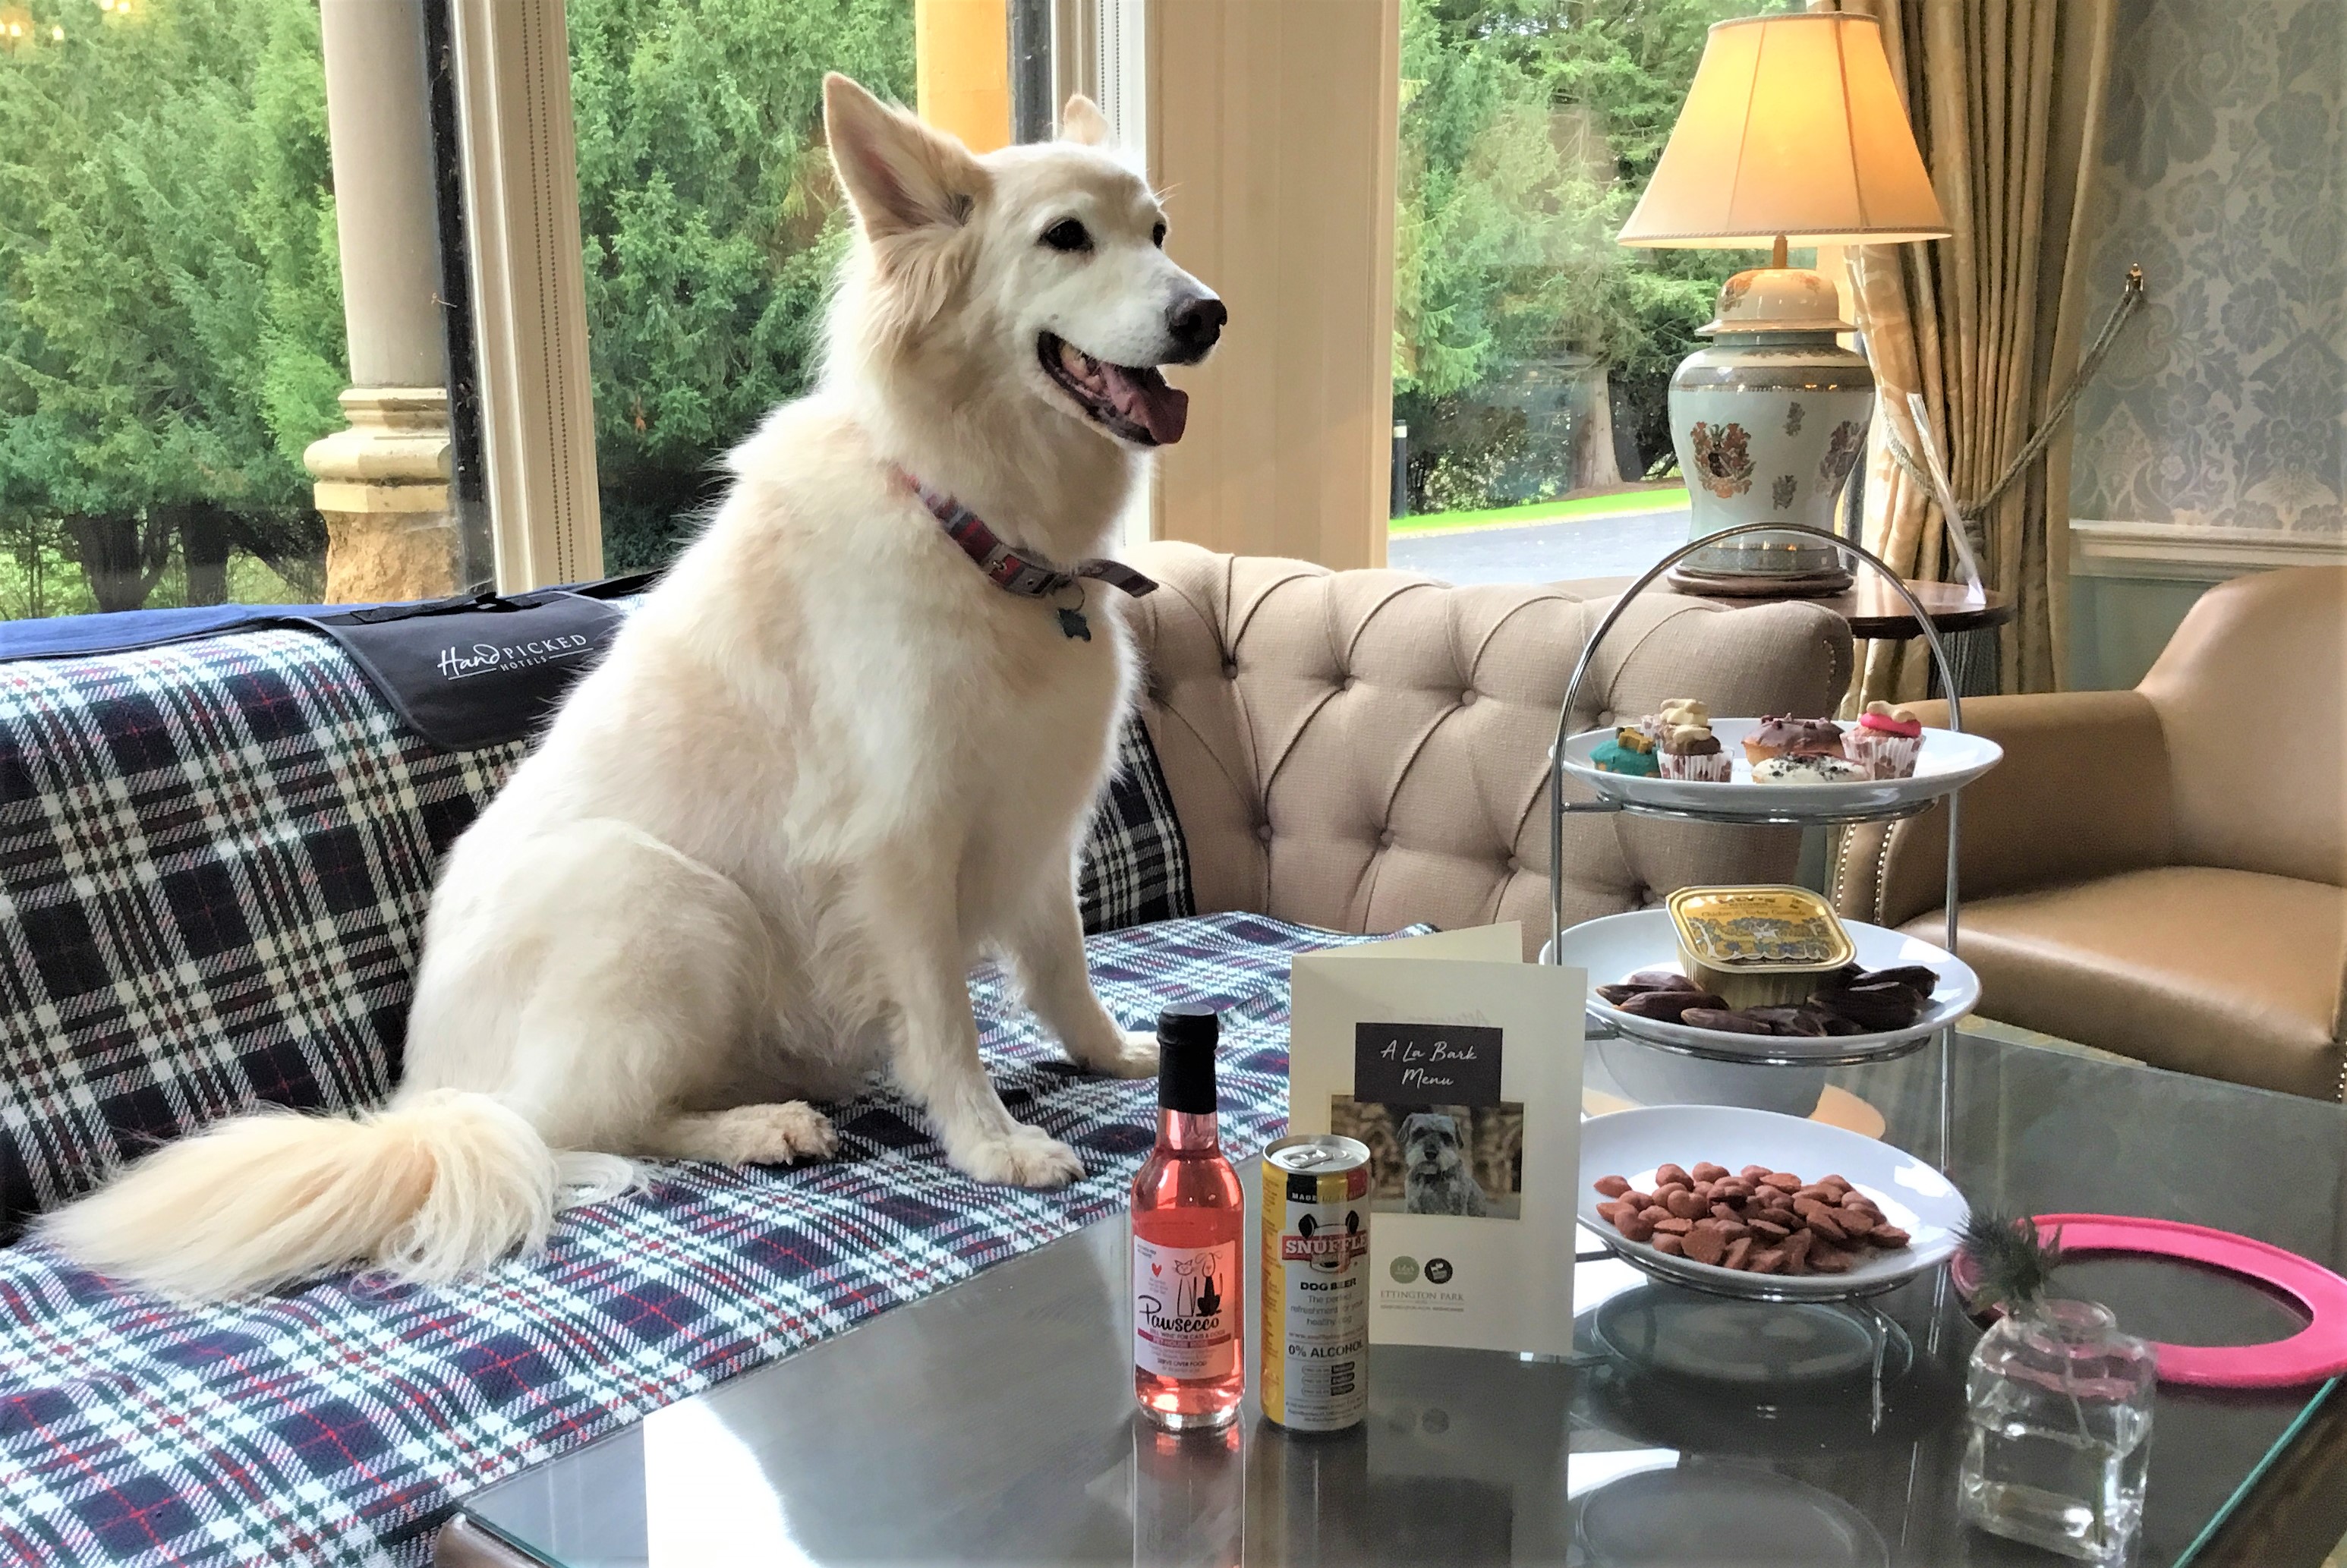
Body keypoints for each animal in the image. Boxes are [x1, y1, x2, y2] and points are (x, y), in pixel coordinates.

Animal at [41, 73, 1230, 1296]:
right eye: (1065, 238)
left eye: (1155, 232)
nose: (1207, 316)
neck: (974, 523)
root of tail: (429, 1105)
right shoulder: (897, 849)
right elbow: (946, 1019)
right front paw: (992, 1142)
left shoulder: (1041, 821)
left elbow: (1062, 964)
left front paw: (1114, 1051)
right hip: (656, 892)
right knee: (584, 1126)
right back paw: (760, 1125)